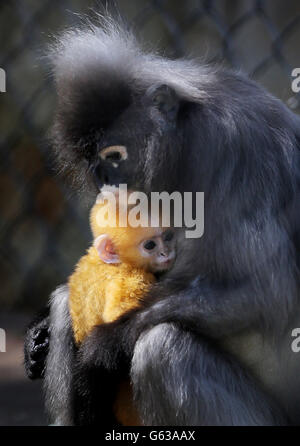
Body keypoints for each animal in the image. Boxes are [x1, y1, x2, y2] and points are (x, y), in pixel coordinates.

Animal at [24, 15, 300, 424]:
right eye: (94, 164)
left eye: (115, 156)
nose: (106, 181)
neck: (185, 141)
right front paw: (37, 334)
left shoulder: (236, 153)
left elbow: (265, 291)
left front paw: (104, 347)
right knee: (65, 303)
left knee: (162, 349)